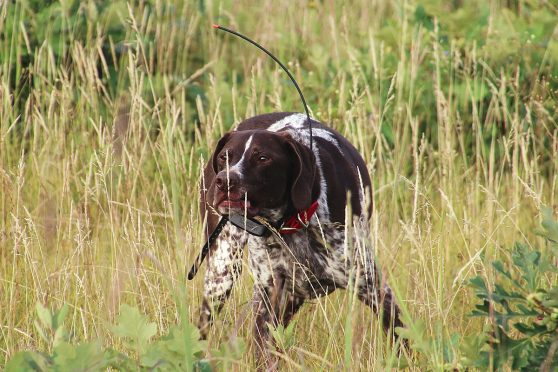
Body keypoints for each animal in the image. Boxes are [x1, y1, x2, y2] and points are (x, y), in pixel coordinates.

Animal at [199, 111, 404, 366]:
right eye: (225, 157)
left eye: (263, 158)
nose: (225, 180)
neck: (291, 223)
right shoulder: (270, 302)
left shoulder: (373, 287)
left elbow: (400, 337)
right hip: (221, 275)